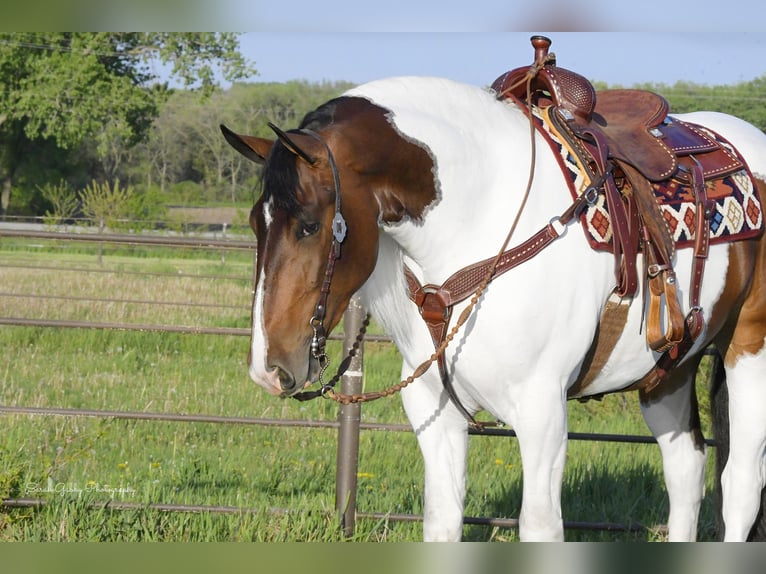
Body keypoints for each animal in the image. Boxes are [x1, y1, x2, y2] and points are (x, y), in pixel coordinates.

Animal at [220, 76, 766, 544]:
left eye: (310, 225)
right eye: (254, 222)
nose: (269, 368)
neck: (479, 222)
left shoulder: (543, 411)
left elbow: (540, 527)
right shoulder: (433, 411)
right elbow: (443, 522)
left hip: (748, 350)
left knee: (740, 484)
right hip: (669, 372)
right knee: (687, 471)